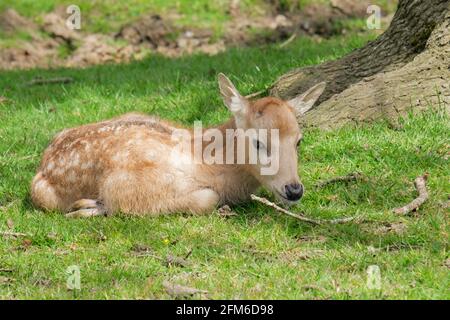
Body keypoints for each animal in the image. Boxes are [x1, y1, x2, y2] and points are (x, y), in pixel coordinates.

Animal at [31, 73, 326, 218]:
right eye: (258, 141)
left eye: (299, 140)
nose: (294, 189)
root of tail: (43, 164)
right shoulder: (123, 184)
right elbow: (207, 198)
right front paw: (90, 206)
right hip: (43, 195)